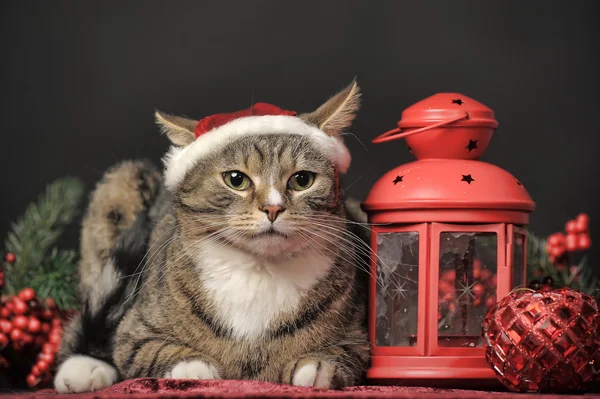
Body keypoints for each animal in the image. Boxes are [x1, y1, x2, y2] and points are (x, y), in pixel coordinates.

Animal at [54, 80, 370, 394]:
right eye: (236, 180)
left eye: (302, 180)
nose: (273, 207)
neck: (259, 270)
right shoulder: (134, 332)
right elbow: (152, 350)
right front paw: (193, 368)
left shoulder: (359, 338)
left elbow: (342, 353)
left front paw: (317, 366)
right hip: (122, 185)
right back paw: (82, 367)